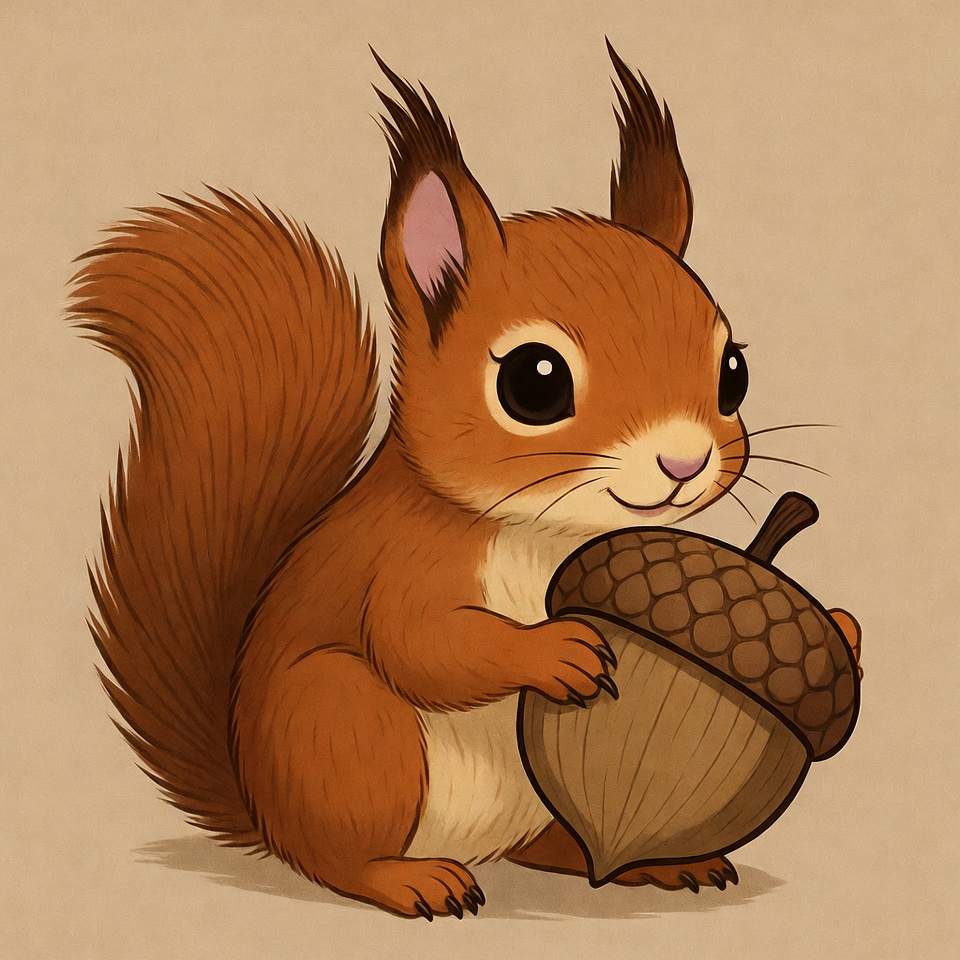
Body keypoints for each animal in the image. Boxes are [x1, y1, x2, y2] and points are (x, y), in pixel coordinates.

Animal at [71, 45, 861, 920]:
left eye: (734, 372)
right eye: (534, 382)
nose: (683, 463)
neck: (547, 530)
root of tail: (260, 808)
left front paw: (843, 629)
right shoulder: (402, 564)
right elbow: (425, 645)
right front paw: (554, 651)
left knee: (548, 848)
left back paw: (648, 863)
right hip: (345, 728)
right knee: (335, 856)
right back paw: (411, 880)